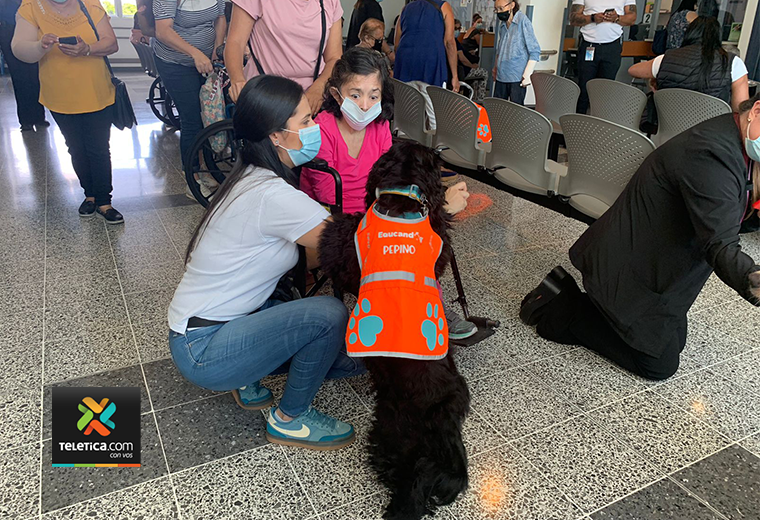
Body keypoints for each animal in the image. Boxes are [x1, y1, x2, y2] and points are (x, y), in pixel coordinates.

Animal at [316, 140, 470, 516]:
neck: (403, 196)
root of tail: (443, 412)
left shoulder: (348, 259)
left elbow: (338, 238)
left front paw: (338, 219)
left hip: (394, 433)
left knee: (410, 483)